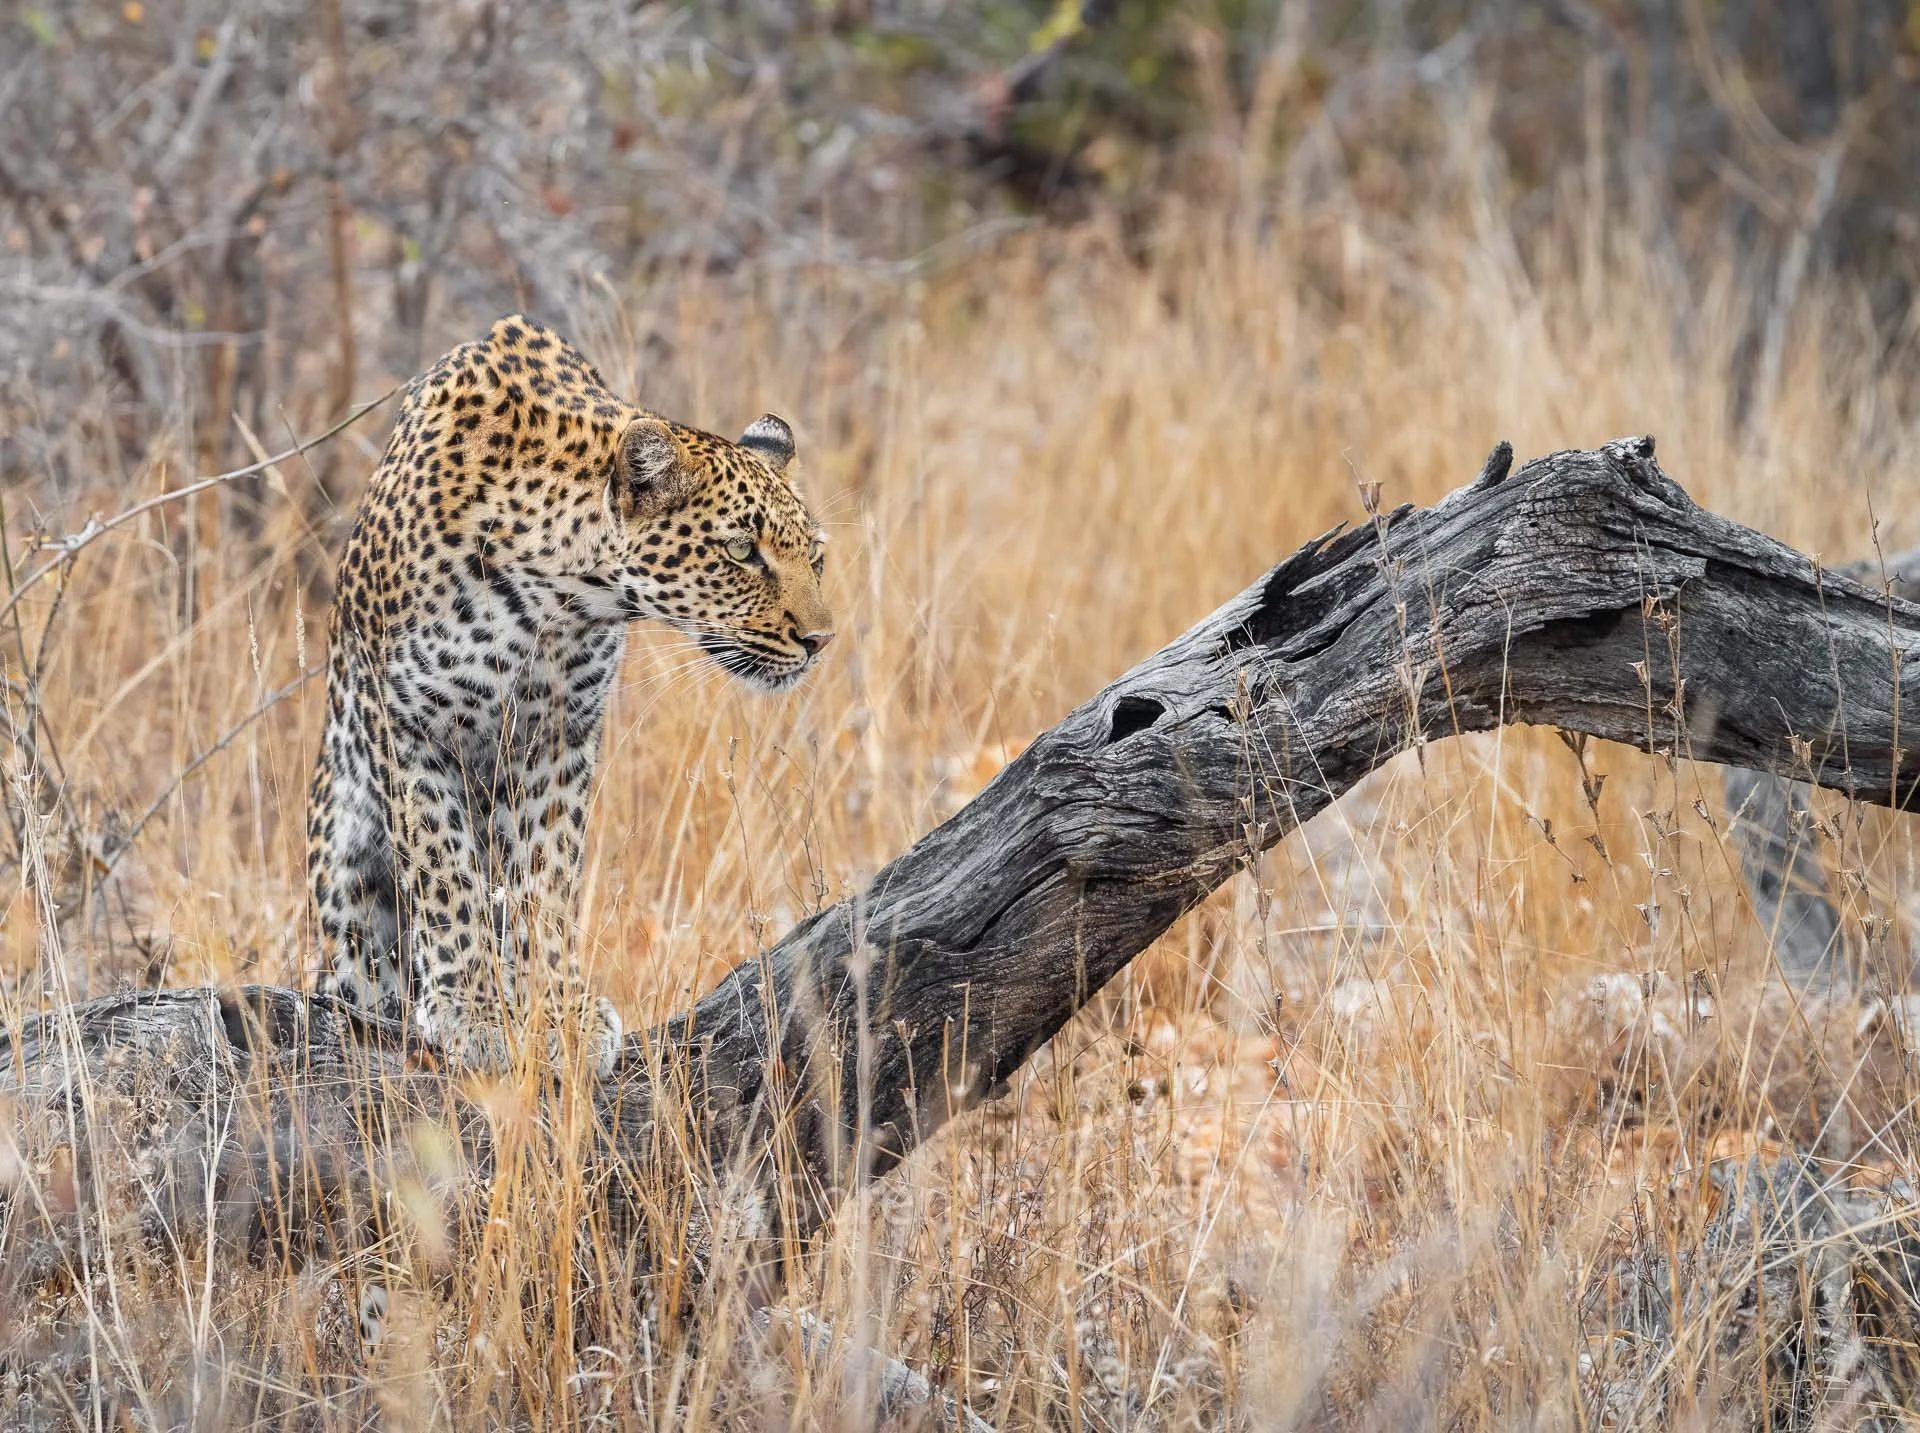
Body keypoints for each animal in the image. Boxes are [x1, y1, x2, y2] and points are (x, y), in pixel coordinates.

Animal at [308, 314, 832, 1077]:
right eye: (741, 551)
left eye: (814, 556)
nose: (821, 639)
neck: (556, 600)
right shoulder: (405, 725)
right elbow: (443, 872)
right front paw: (474, 1009)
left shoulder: (559, 735)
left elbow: (546, 880)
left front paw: (559, 1010)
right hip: (344, 860)